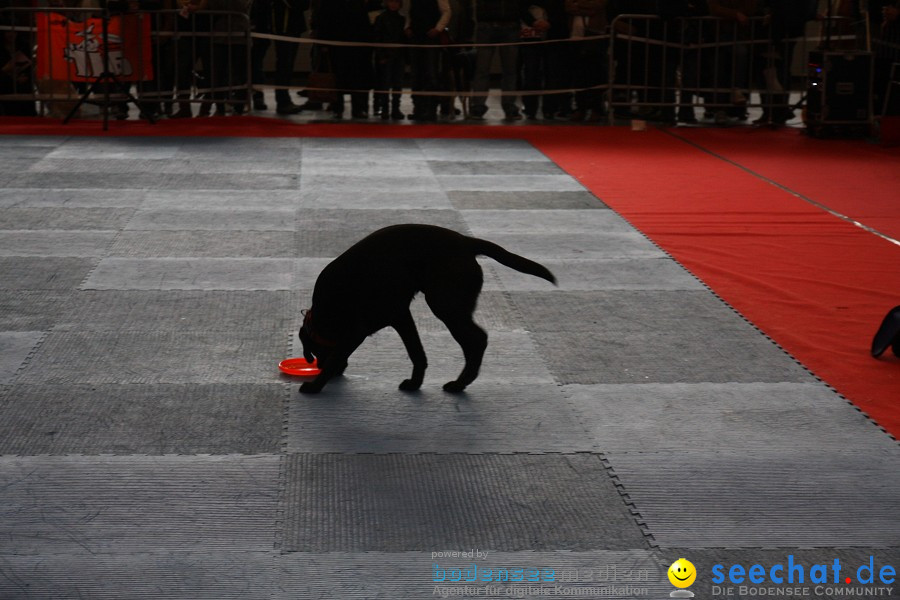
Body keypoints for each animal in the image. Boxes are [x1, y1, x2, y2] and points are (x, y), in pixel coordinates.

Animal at [298, 225, 556, 394]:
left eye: (314, 352)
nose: (316, 367)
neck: (323, 313)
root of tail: (466, 242)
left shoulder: (356, 331)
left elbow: (337, 356)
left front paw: (315, 386)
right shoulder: (401, 315)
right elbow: (417, 352)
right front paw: (415, 383)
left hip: (444, 303)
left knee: (477, 339)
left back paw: (460, 383)